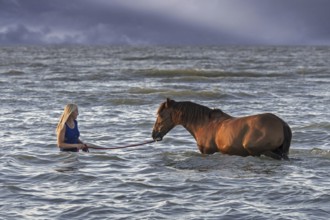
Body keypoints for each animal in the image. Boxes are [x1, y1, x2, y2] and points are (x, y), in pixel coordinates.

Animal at [152, 98, 292, 160]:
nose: (154, 134)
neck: (204, 124)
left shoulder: (207, 152)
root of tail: (281, 123)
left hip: (256, 150)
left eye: (161, 115)